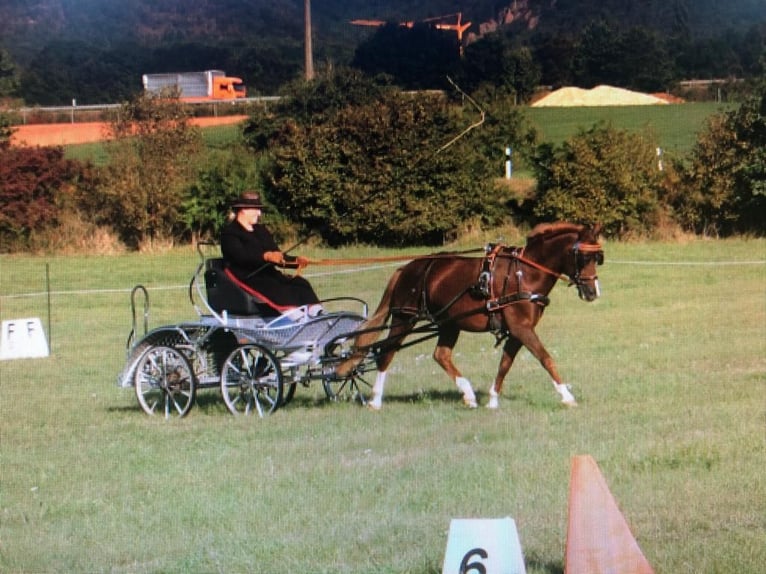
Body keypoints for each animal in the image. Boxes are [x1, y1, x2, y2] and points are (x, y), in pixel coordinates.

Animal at [338, 223, 608, 412]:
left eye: (598, 258)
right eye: (584, 257)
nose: (593, 292)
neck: (524, 273)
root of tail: (406, 268)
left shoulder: (518, 331)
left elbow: (505, 364)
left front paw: (493, 400)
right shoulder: (522, 328)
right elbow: (546, 359)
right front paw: (567, 396)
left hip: (449, 323)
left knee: (441, 355)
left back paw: (468, 395)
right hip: (405, 318)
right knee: (387, 352)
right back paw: (375, 400)